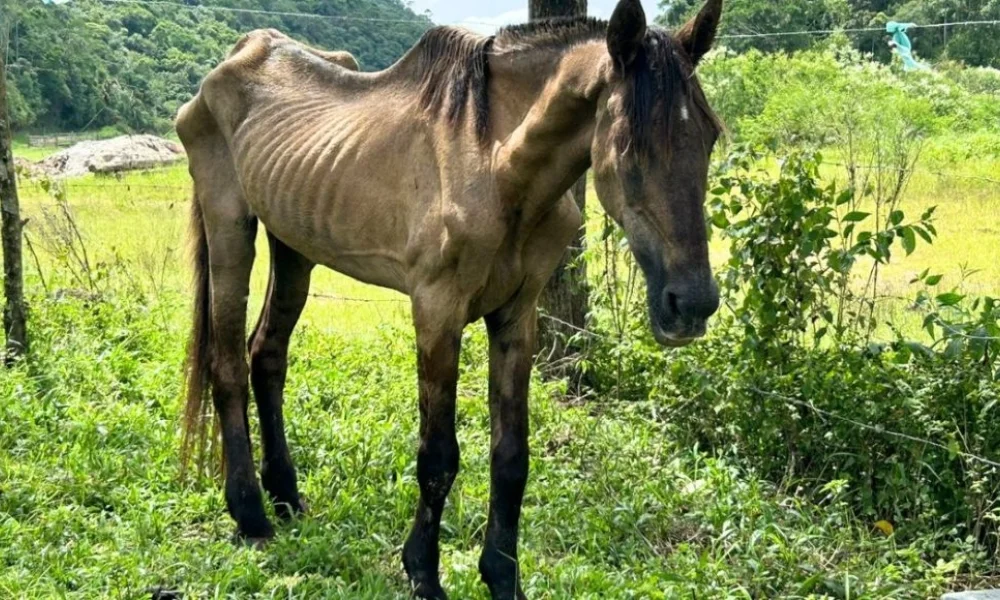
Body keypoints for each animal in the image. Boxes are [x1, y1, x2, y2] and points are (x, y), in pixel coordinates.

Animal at [175, 0, 723, 597]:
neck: (495, 165)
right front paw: (423, 572)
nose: (692, 304)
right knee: (228, 364)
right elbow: (437, 457)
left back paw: (286, 496)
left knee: (267, 356)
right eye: (628, 145)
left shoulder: (516, 317)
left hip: (294, 246)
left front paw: (501, 576)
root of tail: (240, 55)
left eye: (710, 136)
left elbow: (511, 456)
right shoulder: (437, 313)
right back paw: (250, 513)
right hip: (230, 225)